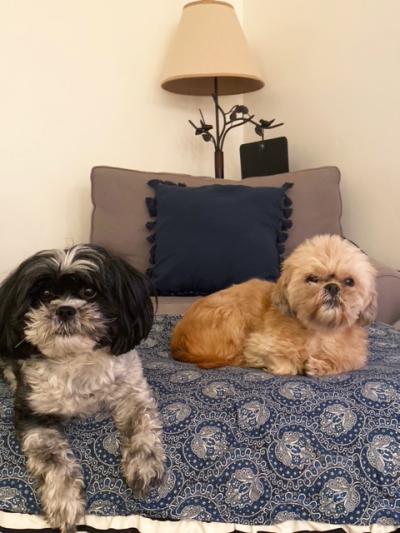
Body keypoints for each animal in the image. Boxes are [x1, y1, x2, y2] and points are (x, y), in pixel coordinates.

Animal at [0, 243, 166, 528]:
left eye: (89, 292)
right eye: (45, 295)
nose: (65, 309)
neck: (76, 361)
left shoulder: (132, 389)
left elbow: (142, 421)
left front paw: (144, 463)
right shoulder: (33, 411)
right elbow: (51, 455)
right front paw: (64, 500)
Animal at [170, 235, 376, 376]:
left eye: (349, 281)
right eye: (312, 278)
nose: (332, 286)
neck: (318, 331)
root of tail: (177, 341)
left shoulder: (355, 357)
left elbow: (343, 363)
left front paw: (319, 366)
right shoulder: (257, 345)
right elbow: (285, 364)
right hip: (230, 316)